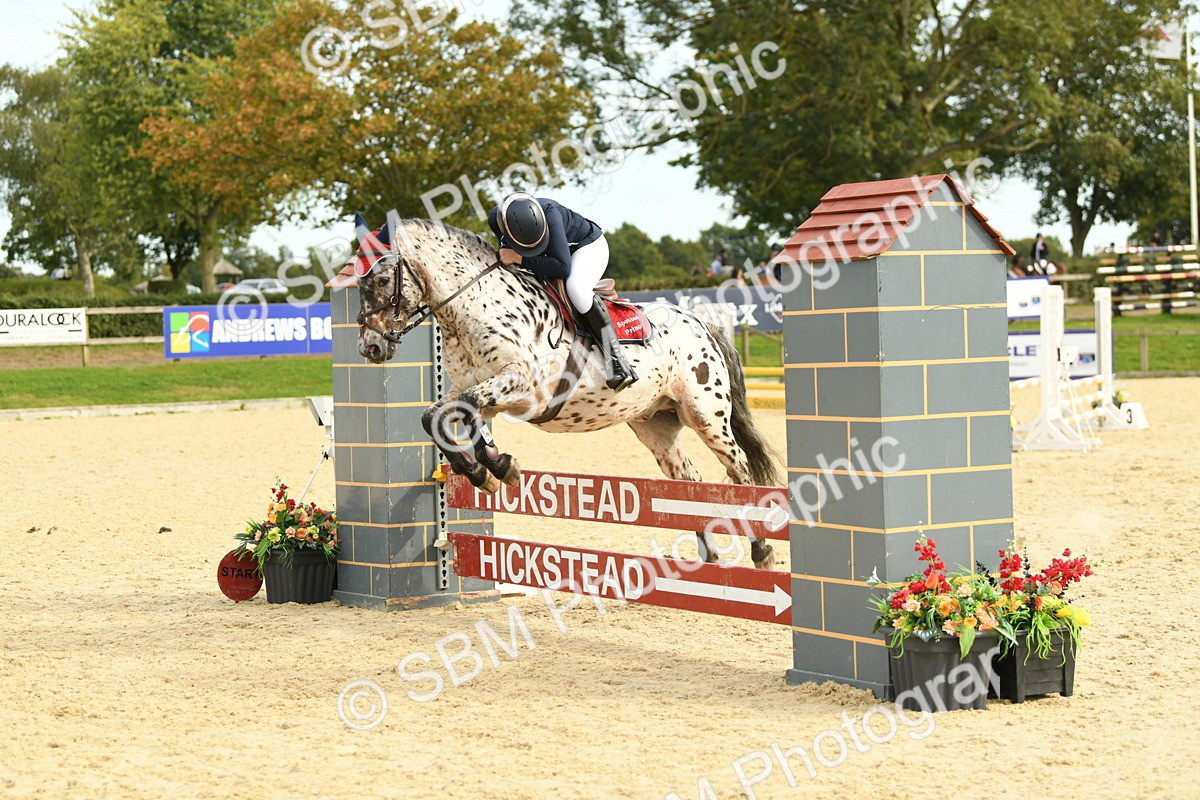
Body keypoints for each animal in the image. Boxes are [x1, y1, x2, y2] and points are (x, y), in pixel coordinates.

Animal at [352, 211, 784, 570]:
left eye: (379, 279)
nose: (369, 348)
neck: (475, 309)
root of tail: (700, 322)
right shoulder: (474, 388)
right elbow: (435, 417)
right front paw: (485, 470)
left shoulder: (521, 387)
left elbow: (466, 411)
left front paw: (496, 467)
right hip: (657, 427)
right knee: (691, 483)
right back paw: (709, 558)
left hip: (706, 416)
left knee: (740, 471)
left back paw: (762, 551)